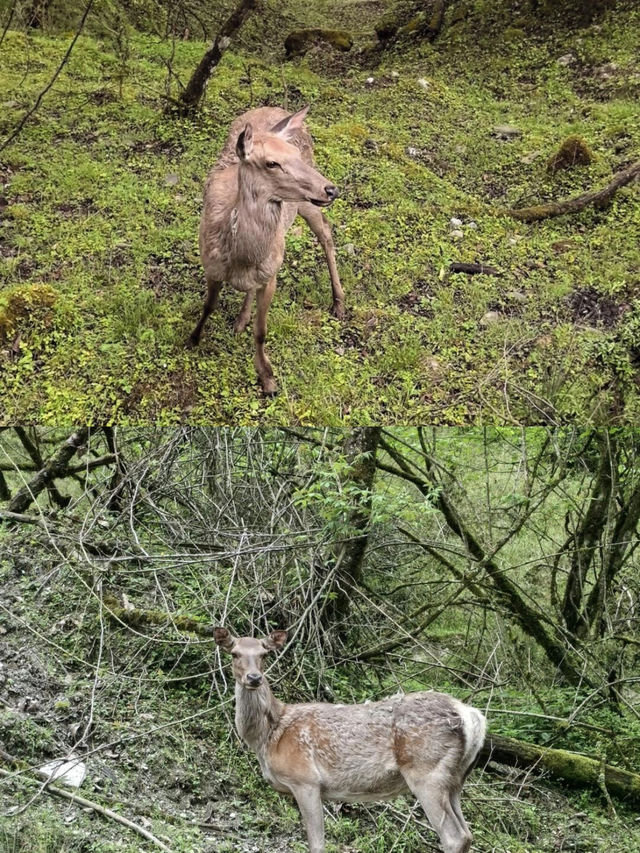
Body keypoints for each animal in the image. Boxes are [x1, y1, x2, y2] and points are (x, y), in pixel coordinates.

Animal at [189, 106, 344, 396]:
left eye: (295, 154)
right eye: (271, 163)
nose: (332, 189)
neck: (240, 257)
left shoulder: (271, 275)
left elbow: (261, 331)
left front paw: (267, 378)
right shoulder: (210, 266)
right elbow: (208, 306)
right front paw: (193, 338)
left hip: (306, 204)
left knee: (326, 233)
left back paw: (338, 302)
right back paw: (241, 320)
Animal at [214, 624, 484, 852]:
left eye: (264, 654)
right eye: (234, 653)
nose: (254, 678)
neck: (268, 737)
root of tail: (472, 716)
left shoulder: (305, 780)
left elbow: (317, 844)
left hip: (427, 771)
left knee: (454, 836)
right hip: (456, 780)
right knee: (467, 834)